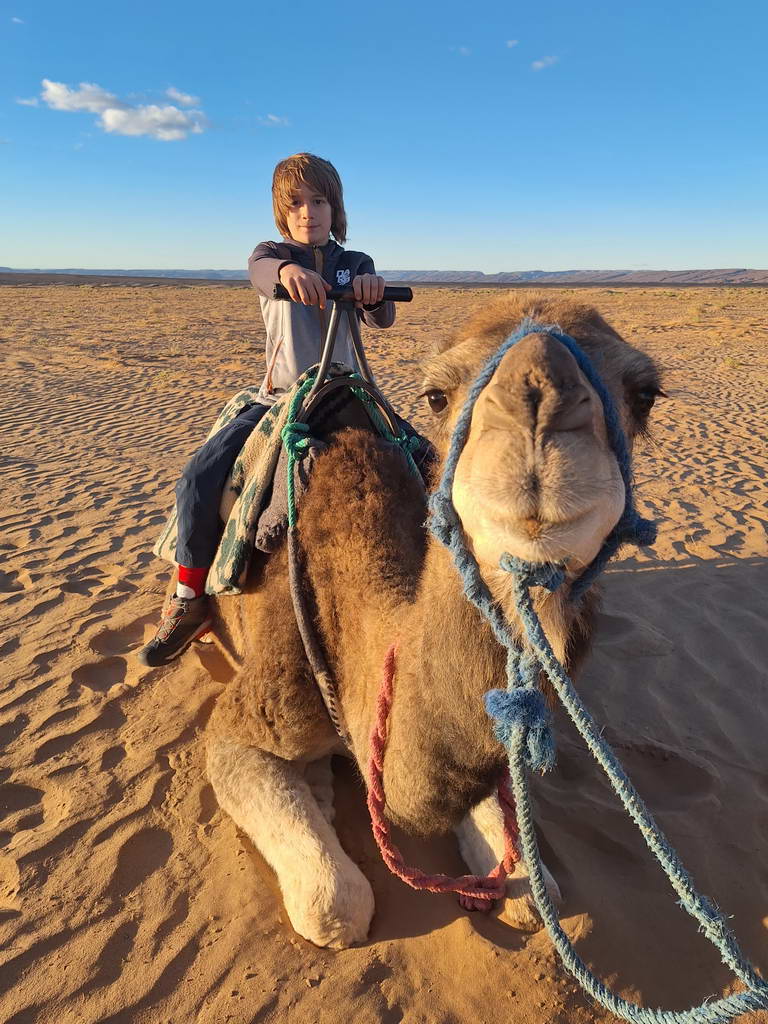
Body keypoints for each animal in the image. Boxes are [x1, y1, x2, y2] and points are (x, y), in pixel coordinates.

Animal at [203, 292, 663, 949]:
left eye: (645, 393)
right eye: (436, 395)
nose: (539, 404)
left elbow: (528, 878)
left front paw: (522, 884)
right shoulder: (250, 715)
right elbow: (335, 905)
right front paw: (317, 791)